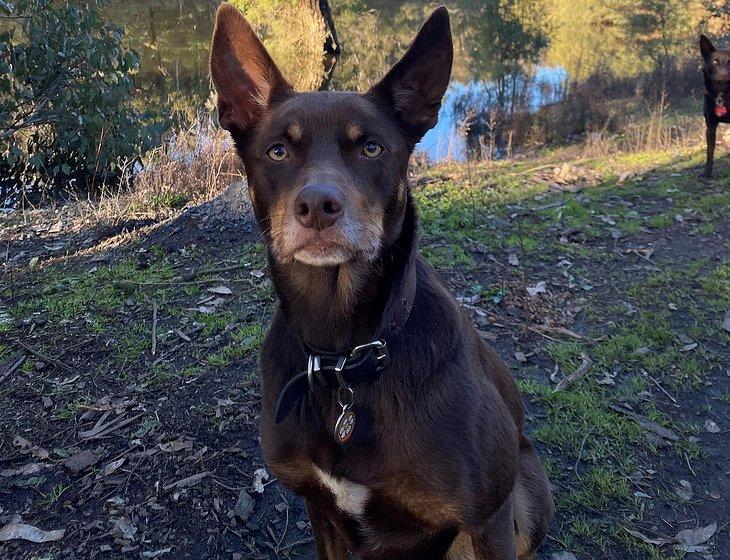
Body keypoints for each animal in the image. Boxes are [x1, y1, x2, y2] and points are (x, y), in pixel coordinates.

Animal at [210, 4, 552, 560]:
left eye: (371, 148)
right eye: (278, 151)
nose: (317, 206)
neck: (343, 355)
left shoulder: (487, 519)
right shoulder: (319, 507)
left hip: (526, 496)